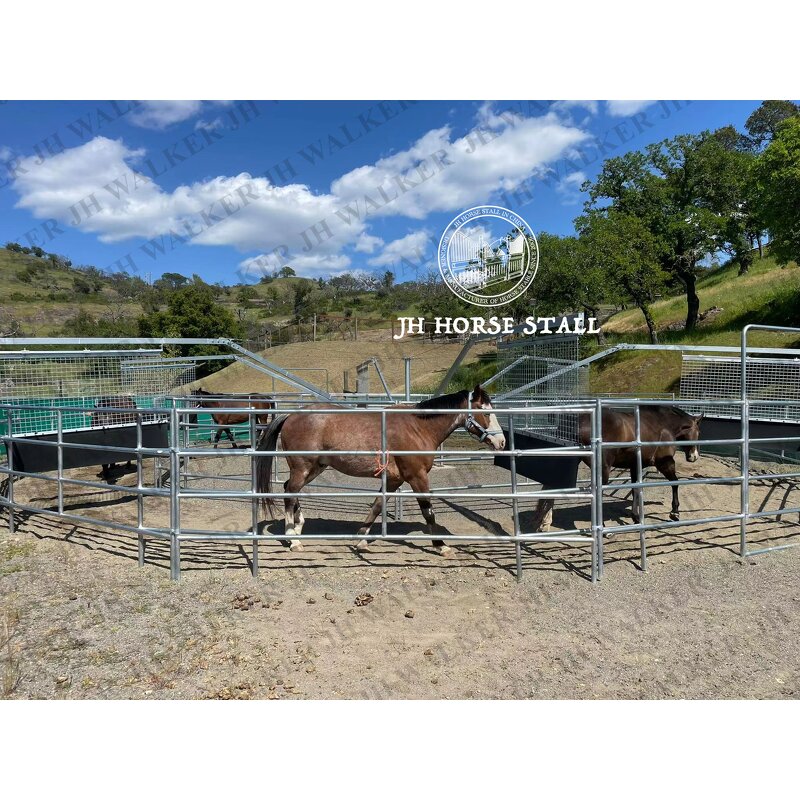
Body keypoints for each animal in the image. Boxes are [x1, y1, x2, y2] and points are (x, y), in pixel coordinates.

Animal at [255, 384, 506, 555]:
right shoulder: (417, 477)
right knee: (290, 493)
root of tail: (291, 414)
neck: (417, 428)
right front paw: (441, 545)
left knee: (289, 489)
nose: (501, 442)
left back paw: (298, 527)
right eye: (486, 412)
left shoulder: (394, 480)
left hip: (316, 468)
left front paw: (361, 540)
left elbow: (376, 506)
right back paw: (293, 540)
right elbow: (428, 511)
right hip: (303, 468)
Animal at [532, 406, 703, 531]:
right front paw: (675, 513)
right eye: (698, 431)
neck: (663, 425)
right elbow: (675, 483)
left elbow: (635, 489)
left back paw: (543, 523)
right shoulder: (664, 463)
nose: (693, 456)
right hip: (603, 470)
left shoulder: (635, 466)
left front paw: (635, 516)